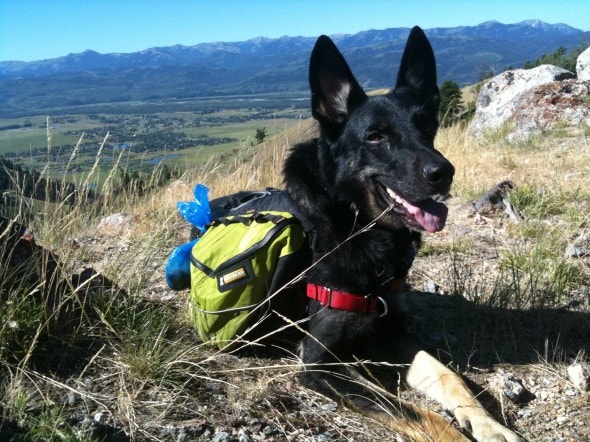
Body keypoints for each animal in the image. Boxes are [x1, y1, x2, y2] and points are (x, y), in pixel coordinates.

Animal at [280, 27, 524, 442]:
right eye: (375, 137)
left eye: (427, 126)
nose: (443, 173)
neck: (355, 223)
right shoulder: (319, 362)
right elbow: (414, 413)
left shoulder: (392, 332)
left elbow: (449, 375)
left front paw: (490, 426)